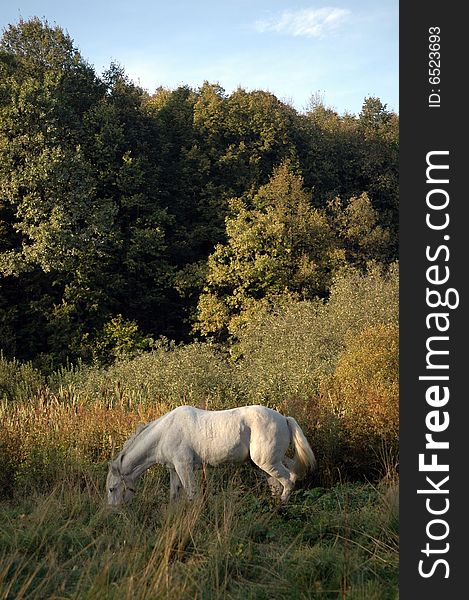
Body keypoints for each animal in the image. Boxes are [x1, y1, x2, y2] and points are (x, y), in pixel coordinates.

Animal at [107, 404, 314, 506]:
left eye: (111, 489)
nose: (113, 511)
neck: (164, 433)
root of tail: (284, 419)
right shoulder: (174, 469)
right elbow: (174, 494)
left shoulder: (184, 467)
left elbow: (191, 493)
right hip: (265, 464)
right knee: (278, 484)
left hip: (268, 462)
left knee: (288, 481)